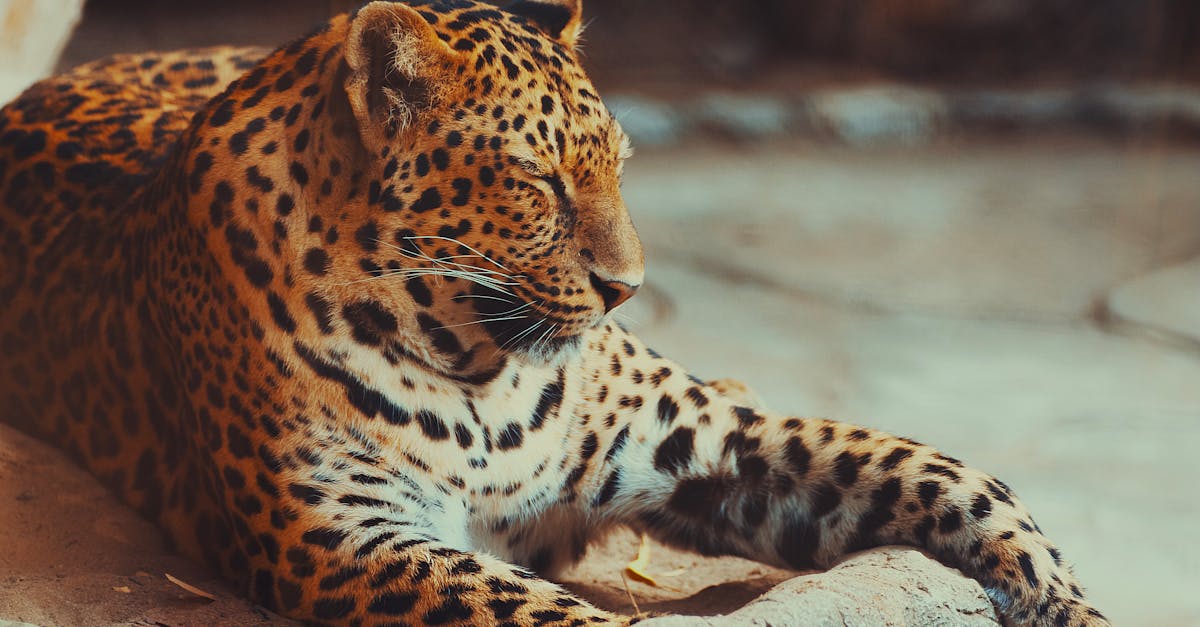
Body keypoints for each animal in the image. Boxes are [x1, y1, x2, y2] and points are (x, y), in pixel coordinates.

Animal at [0, 1, 1109, 625]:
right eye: (537, 183)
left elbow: (945, 474)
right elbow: (535, 610)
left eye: (618, 165)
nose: (628, 286)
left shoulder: (707, 440)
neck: (477, 369)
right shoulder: (347, 534)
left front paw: (1064, 598)